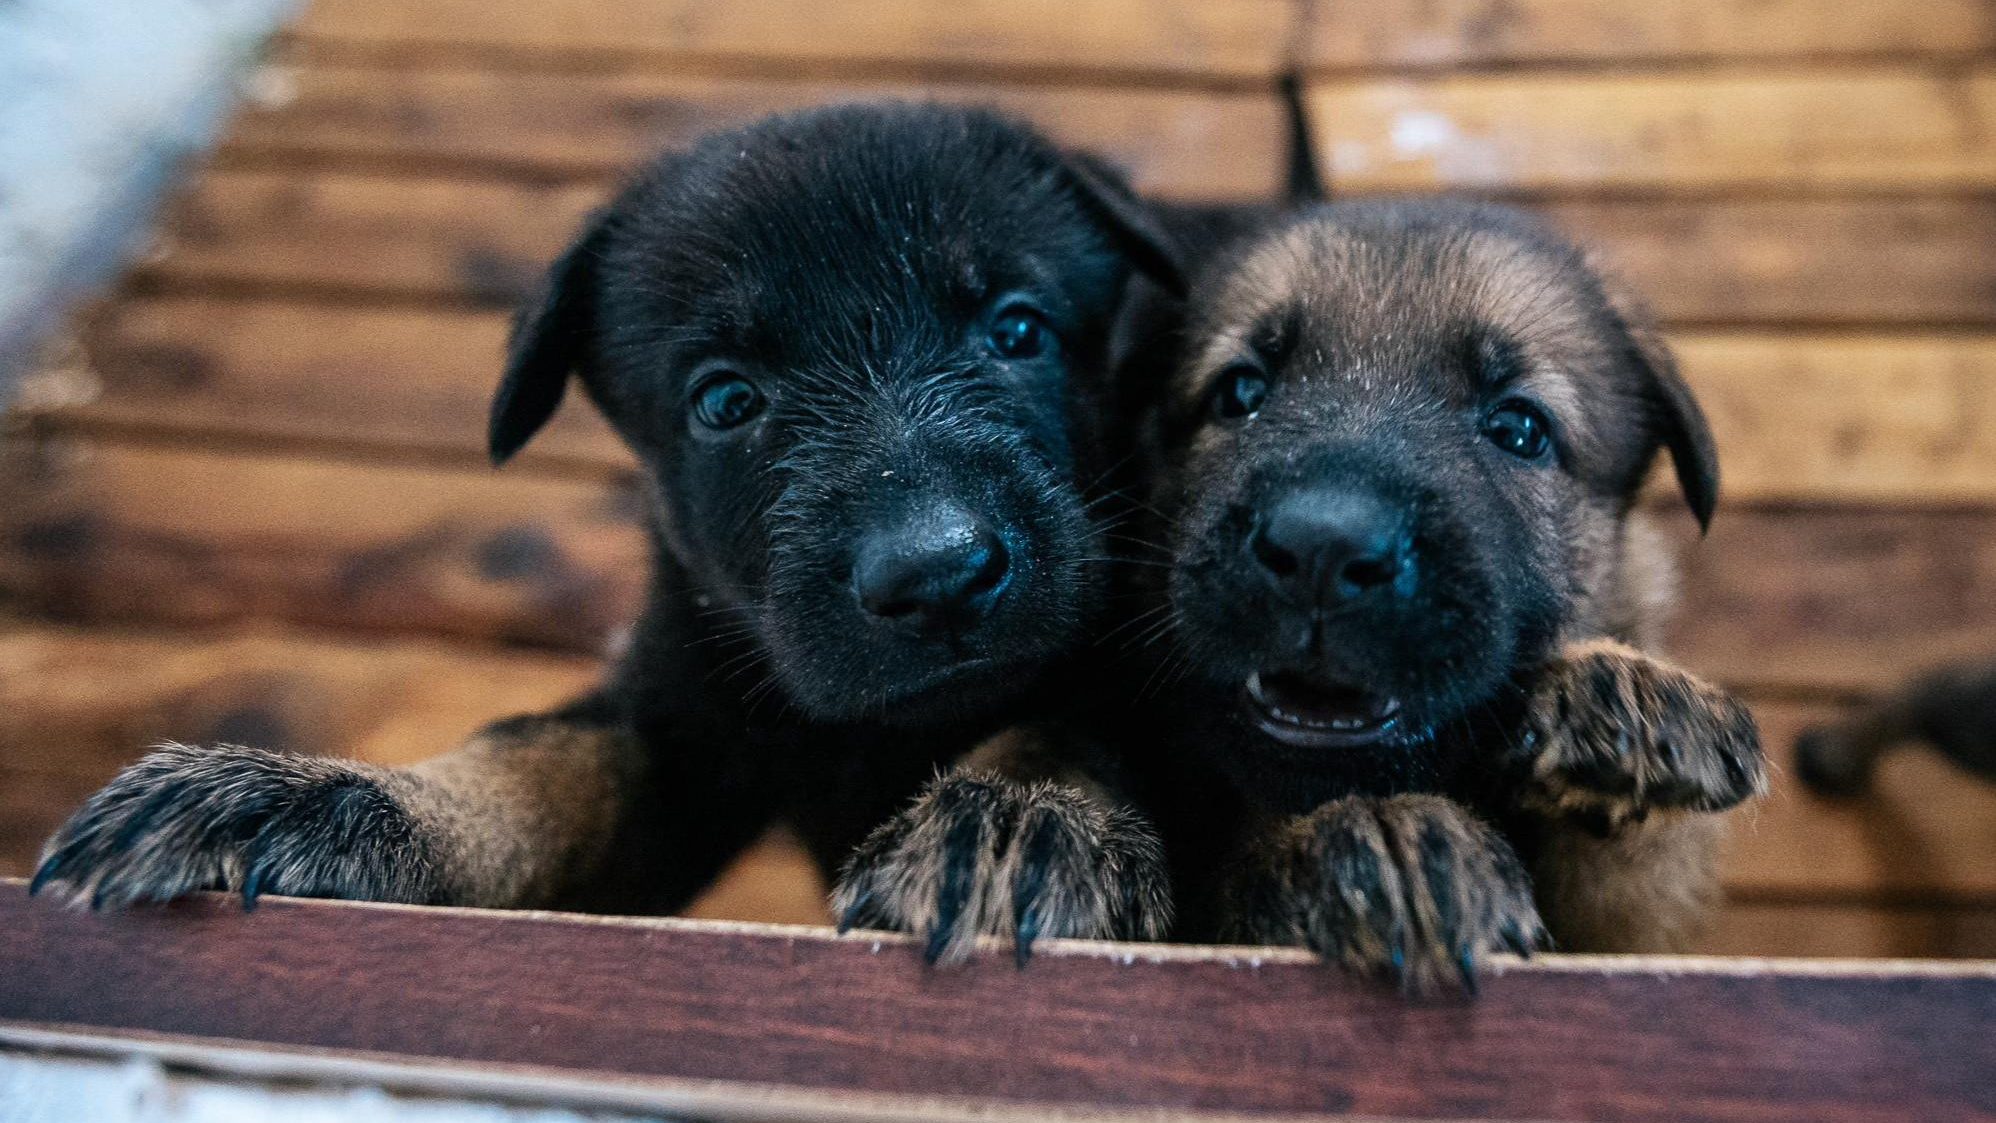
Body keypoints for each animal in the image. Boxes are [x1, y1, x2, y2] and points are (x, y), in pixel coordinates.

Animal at [35, 98, 1181, 933]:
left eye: (1018, 331)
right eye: (724, 400)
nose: (937, 574)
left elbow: (1049, 726)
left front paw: (1008, 821)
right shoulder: (668, 720)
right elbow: (534, 762)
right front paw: (319, 797)